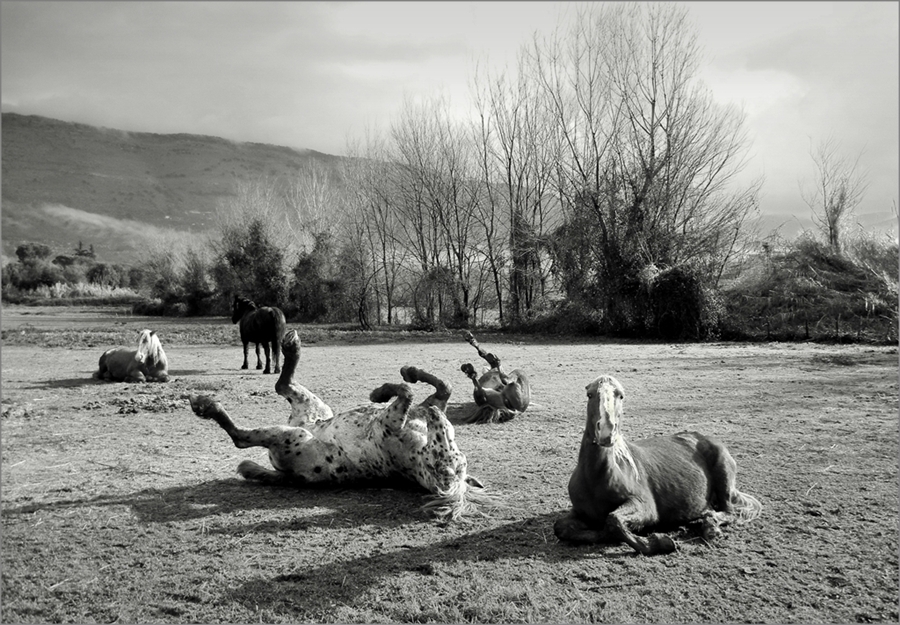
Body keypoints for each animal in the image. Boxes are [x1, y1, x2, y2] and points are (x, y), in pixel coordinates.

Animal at [190, 329, 495, 523]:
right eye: (451, 448)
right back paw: (292, 346)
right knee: (283, 384)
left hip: (292, 434)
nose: (435, 416)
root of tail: (290, 475)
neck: (417, 445)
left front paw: (379, 393)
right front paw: (404, 376)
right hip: (312, 407)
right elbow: (440, 385)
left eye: (448, 465)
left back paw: (206, 406)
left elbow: (406, 392)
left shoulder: (389, 421)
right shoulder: (427, 403)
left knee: (241, 435)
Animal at [554, 375, 762, 555]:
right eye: (590, 395)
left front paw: (659, 542)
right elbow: (561, 528)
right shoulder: (580, 512)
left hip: (724, 483)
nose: (606, 431)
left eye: (620, 395)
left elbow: (613, 520)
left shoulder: (644, 505)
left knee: (730, 511)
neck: (596, 478)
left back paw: (711, 528)